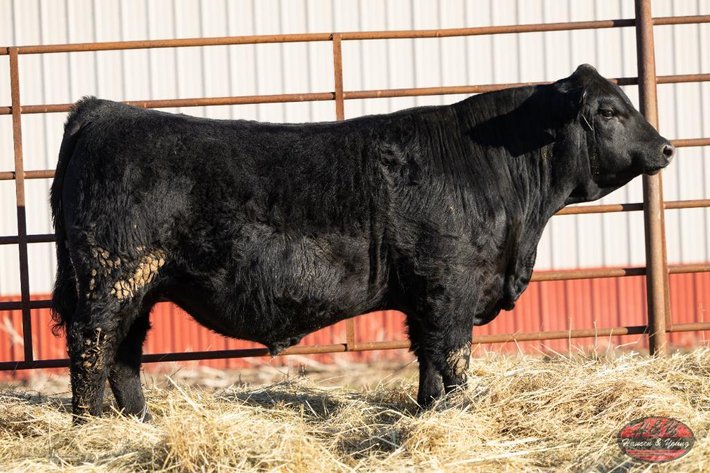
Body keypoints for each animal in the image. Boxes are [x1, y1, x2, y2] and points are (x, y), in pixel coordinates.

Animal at [51, 64, 674, 422]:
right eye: (608, 110)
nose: (666, 147)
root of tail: (102, 111)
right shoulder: (450, 288)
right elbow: (454, 359)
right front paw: (460, 415)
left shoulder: (424, 296)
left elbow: (428, 362)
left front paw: (428, 416)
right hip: (112, 276)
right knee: (92, 344)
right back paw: (90, 426)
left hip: (142, 285)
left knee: (125, 351)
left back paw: (138, 424)